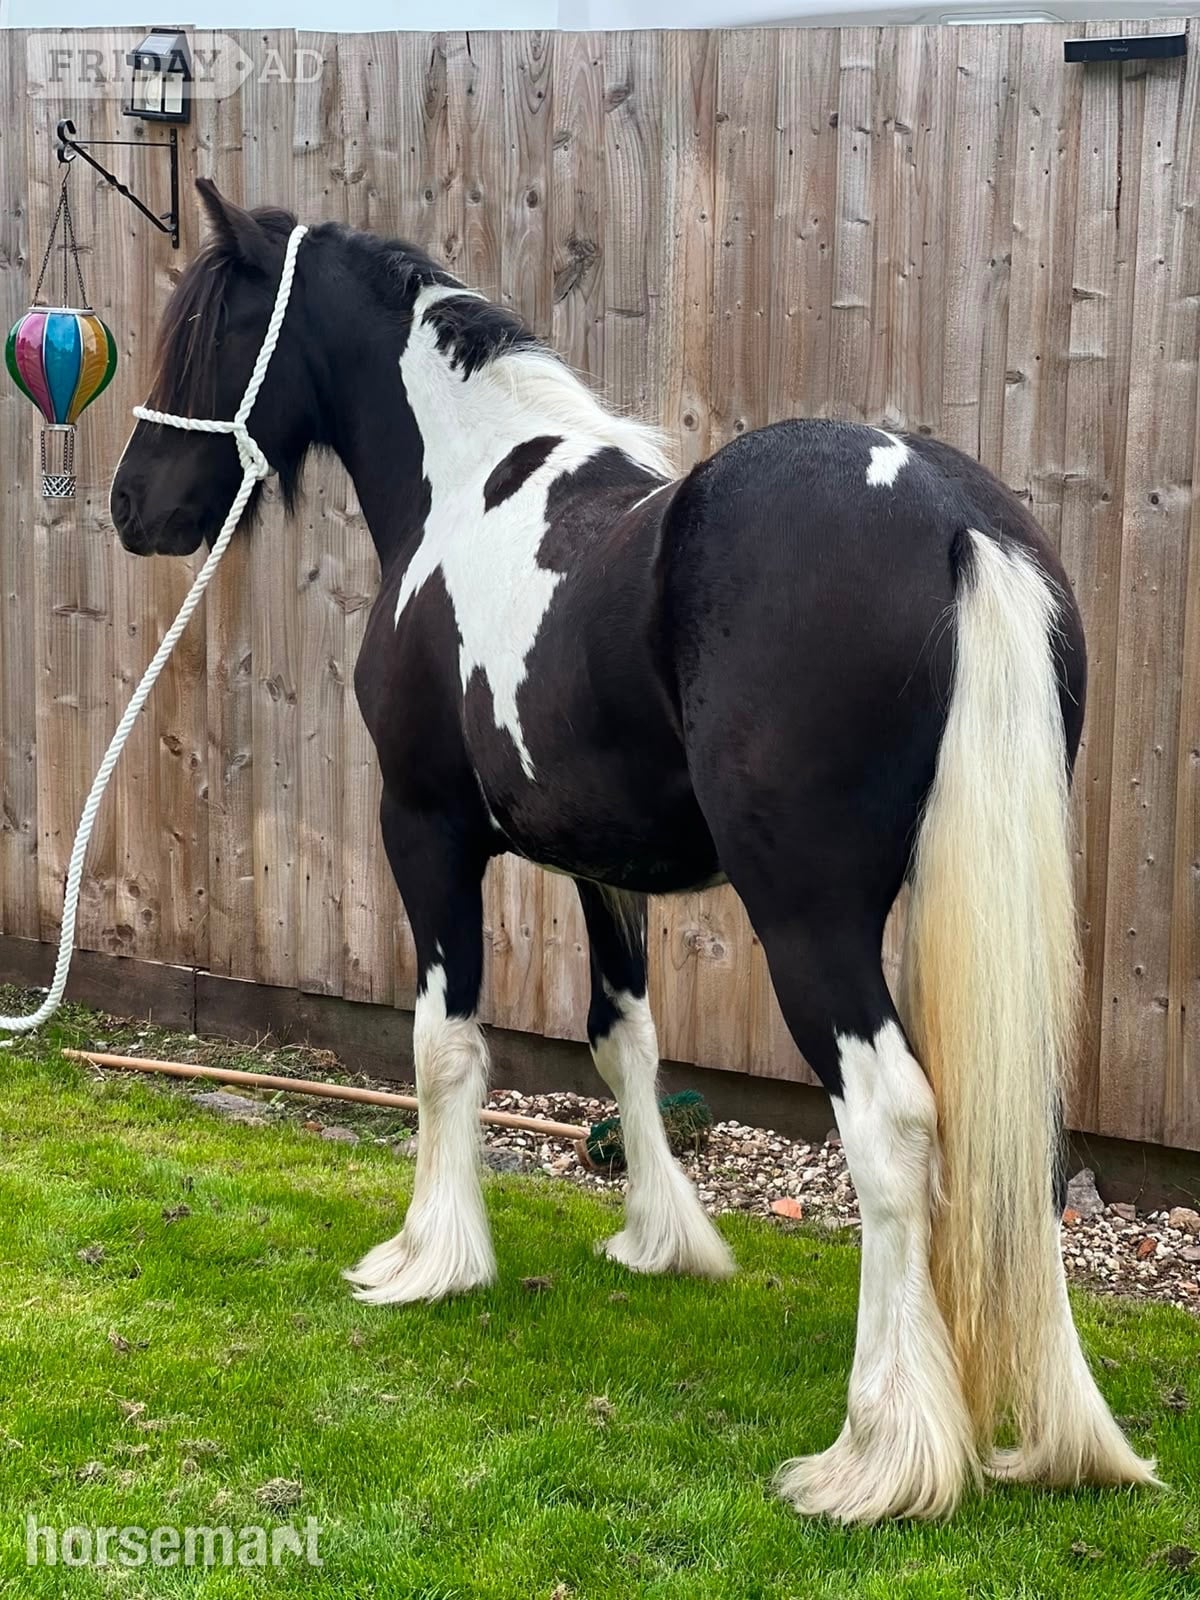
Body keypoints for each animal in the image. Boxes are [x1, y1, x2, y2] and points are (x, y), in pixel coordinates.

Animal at [109, 178, 1155, 1524]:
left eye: (208, 335)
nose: (131, 504)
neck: (470, 489)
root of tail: (956, 522)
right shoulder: (606, 866)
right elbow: (625, 1038)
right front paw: (662, 1239)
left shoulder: (425, 828)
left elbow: (443, 1044)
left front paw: (427, 1258)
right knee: (1010, 1144)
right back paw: (1055, 1434)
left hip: (808, 918)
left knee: (890, 1126)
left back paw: (877, 1452)